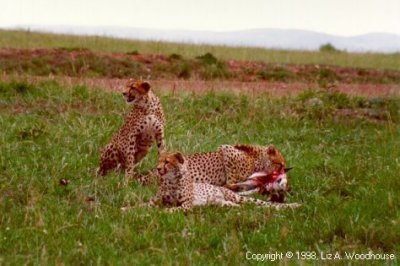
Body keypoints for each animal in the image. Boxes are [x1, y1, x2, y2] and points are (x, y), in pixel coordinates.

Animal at [150, 152, 300, 212]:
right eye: (159, 161)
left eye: (167, 162)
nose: (157, 168)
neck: (170, 181)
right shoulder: (158, 199)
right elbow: (149, 204)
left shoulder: (187, 204)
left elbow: (173, 208)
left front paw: (163, 212)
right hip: (221, 202)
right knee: (237, 206)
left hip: (238, 197)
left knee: (264, 204)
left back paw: (294, 205)